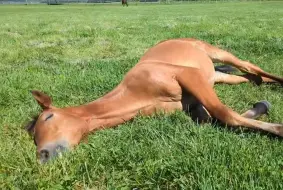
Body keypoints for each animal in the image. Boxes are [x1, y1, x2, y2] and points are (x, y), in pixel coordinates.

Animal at [25, 38, 283, 163]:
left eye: (49, 116)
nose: (43, 156)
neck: (136, 95)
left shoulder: (186, 74)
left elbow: (225, 114)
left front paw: (278, 128)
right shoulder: (194, 99)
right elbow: (210, 119)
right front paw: (260, 106)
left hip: (216, 52)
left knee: (250, 66)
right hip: (219, 77)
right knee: (250, 77)